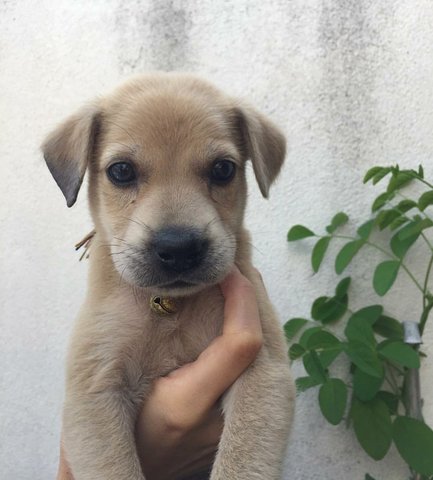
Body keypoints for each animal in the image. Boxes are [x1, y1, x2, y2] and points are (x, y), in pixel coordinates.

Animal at [42, 74, 294, 480]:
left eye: (223, 169)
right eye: (121, 171)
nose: (179, 248)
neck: (170, 306)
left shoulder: (264, 374)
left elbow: (242, 460)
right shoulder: (94, 391)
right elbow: (116, 469)